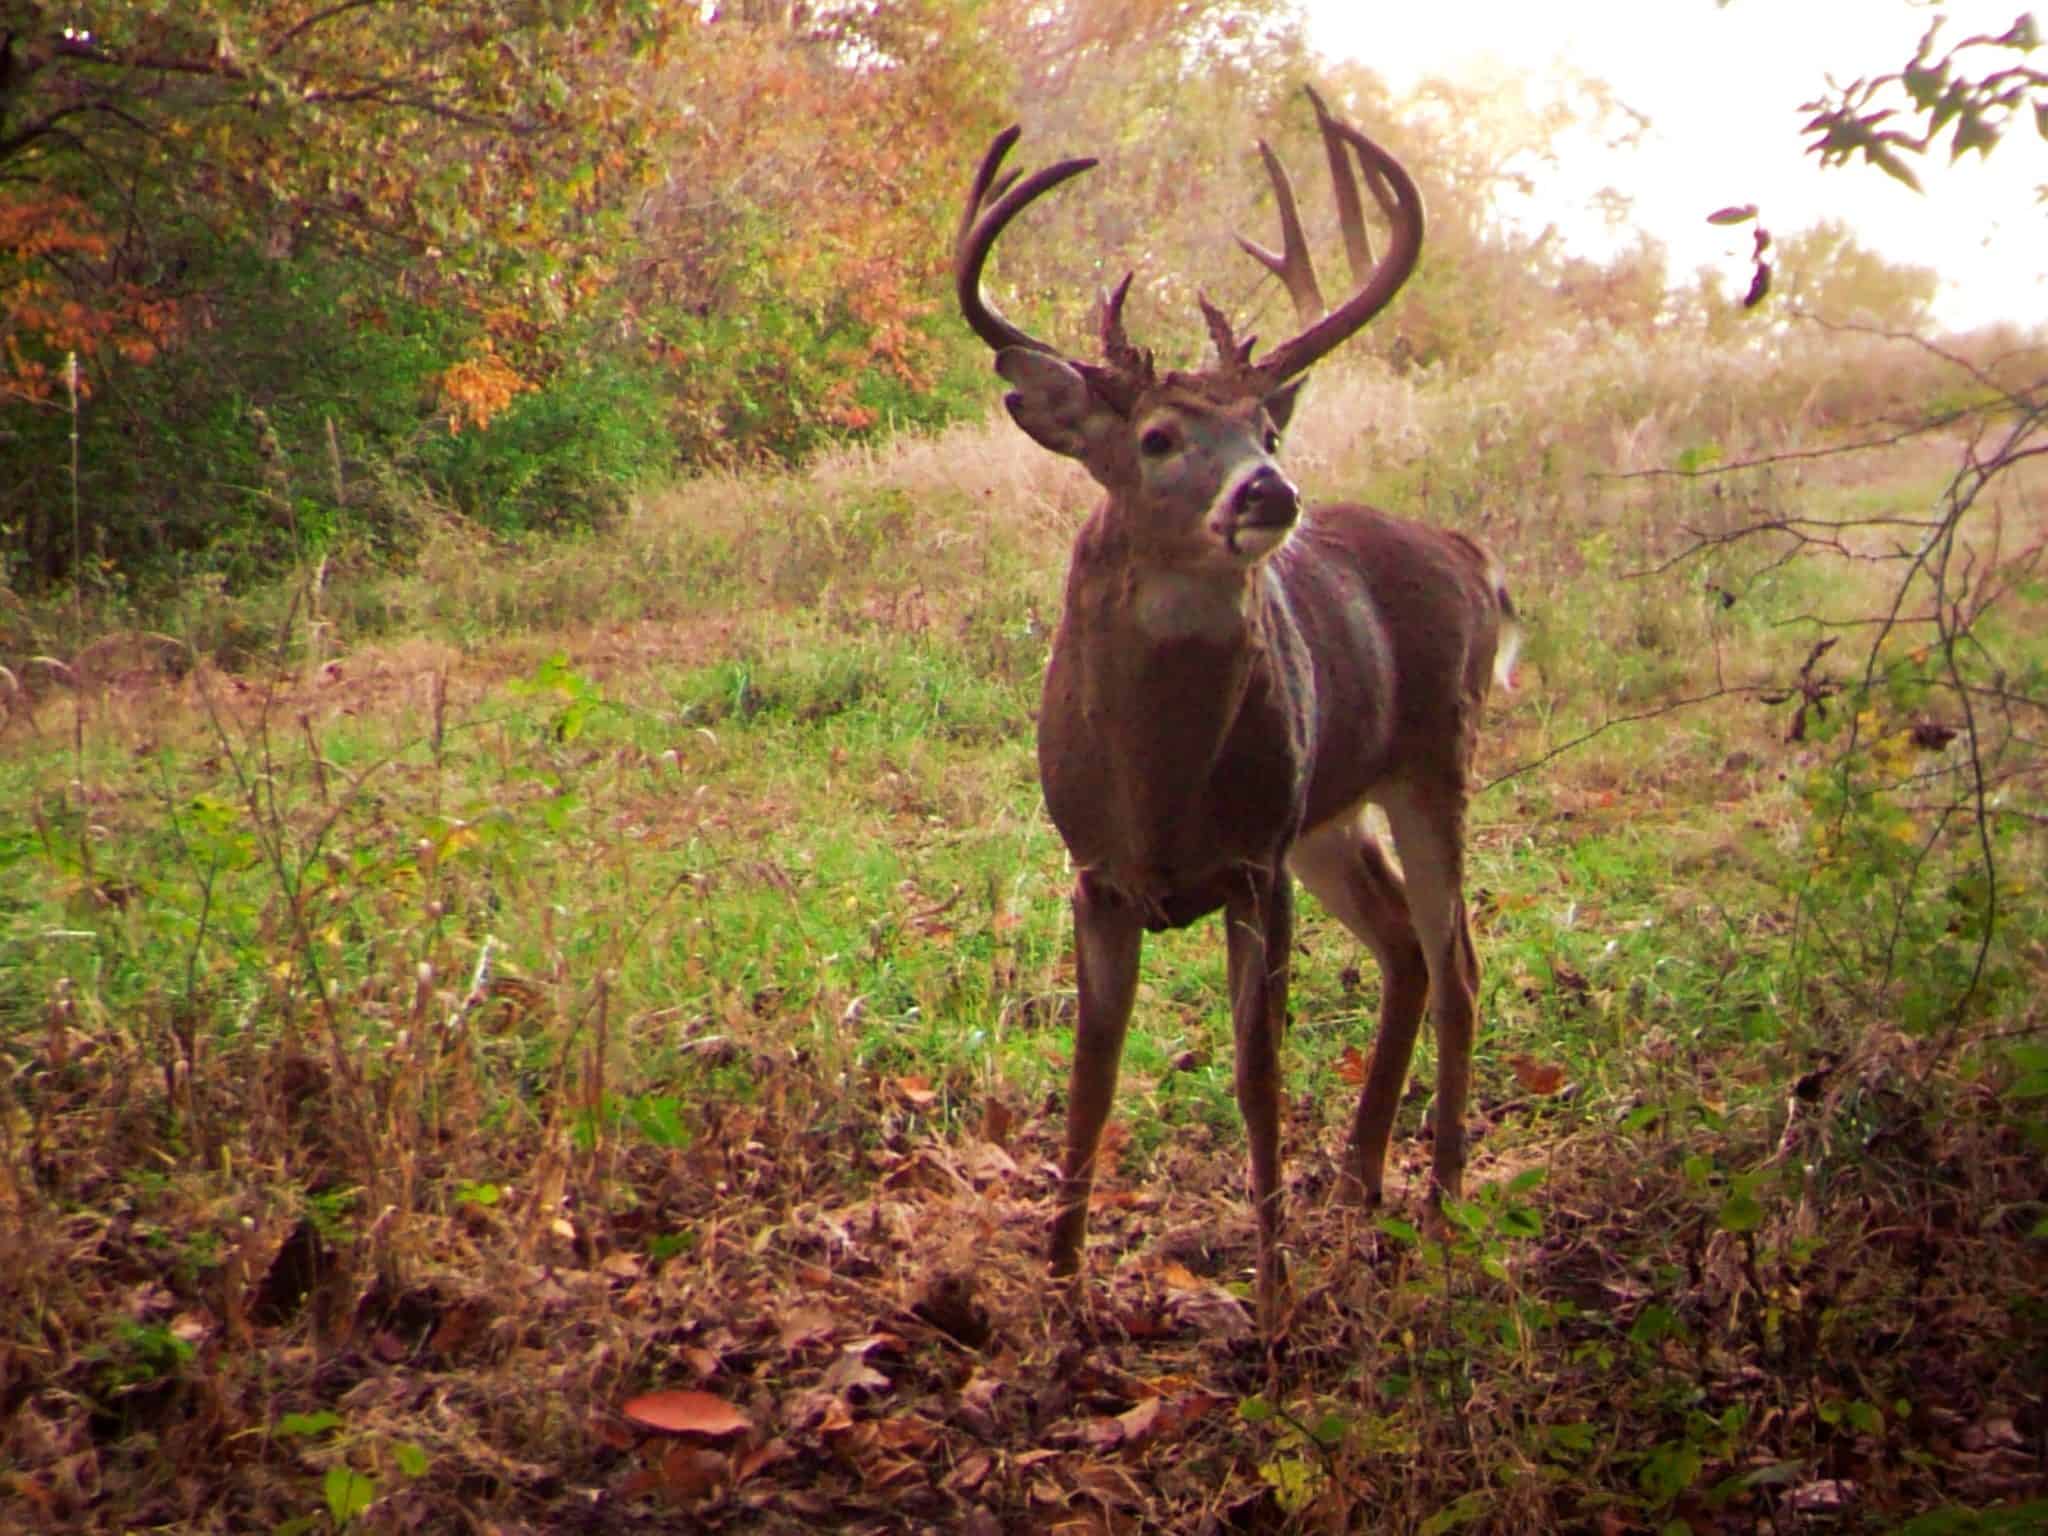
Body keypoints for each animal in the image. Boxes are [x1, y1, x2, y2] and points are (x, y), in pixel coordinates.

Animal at [953, 87, 1518, 1329]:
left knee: (1453, 955)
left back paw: (1441, 1199)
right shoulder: (1096, 871)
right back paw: (1358, 1182)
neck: (1158, 792)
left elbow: (1257, 1071)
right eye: (1158, 438)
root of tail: (1467, 552)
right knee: (1405, 945)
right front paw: (1059, 1289)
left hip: (1431, 761)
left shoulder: (1253, 865)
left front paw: (1269, 1295)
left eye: (1266, 430)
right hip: (1327, 817)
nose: (1269, 492)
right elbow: (1090, 1072)